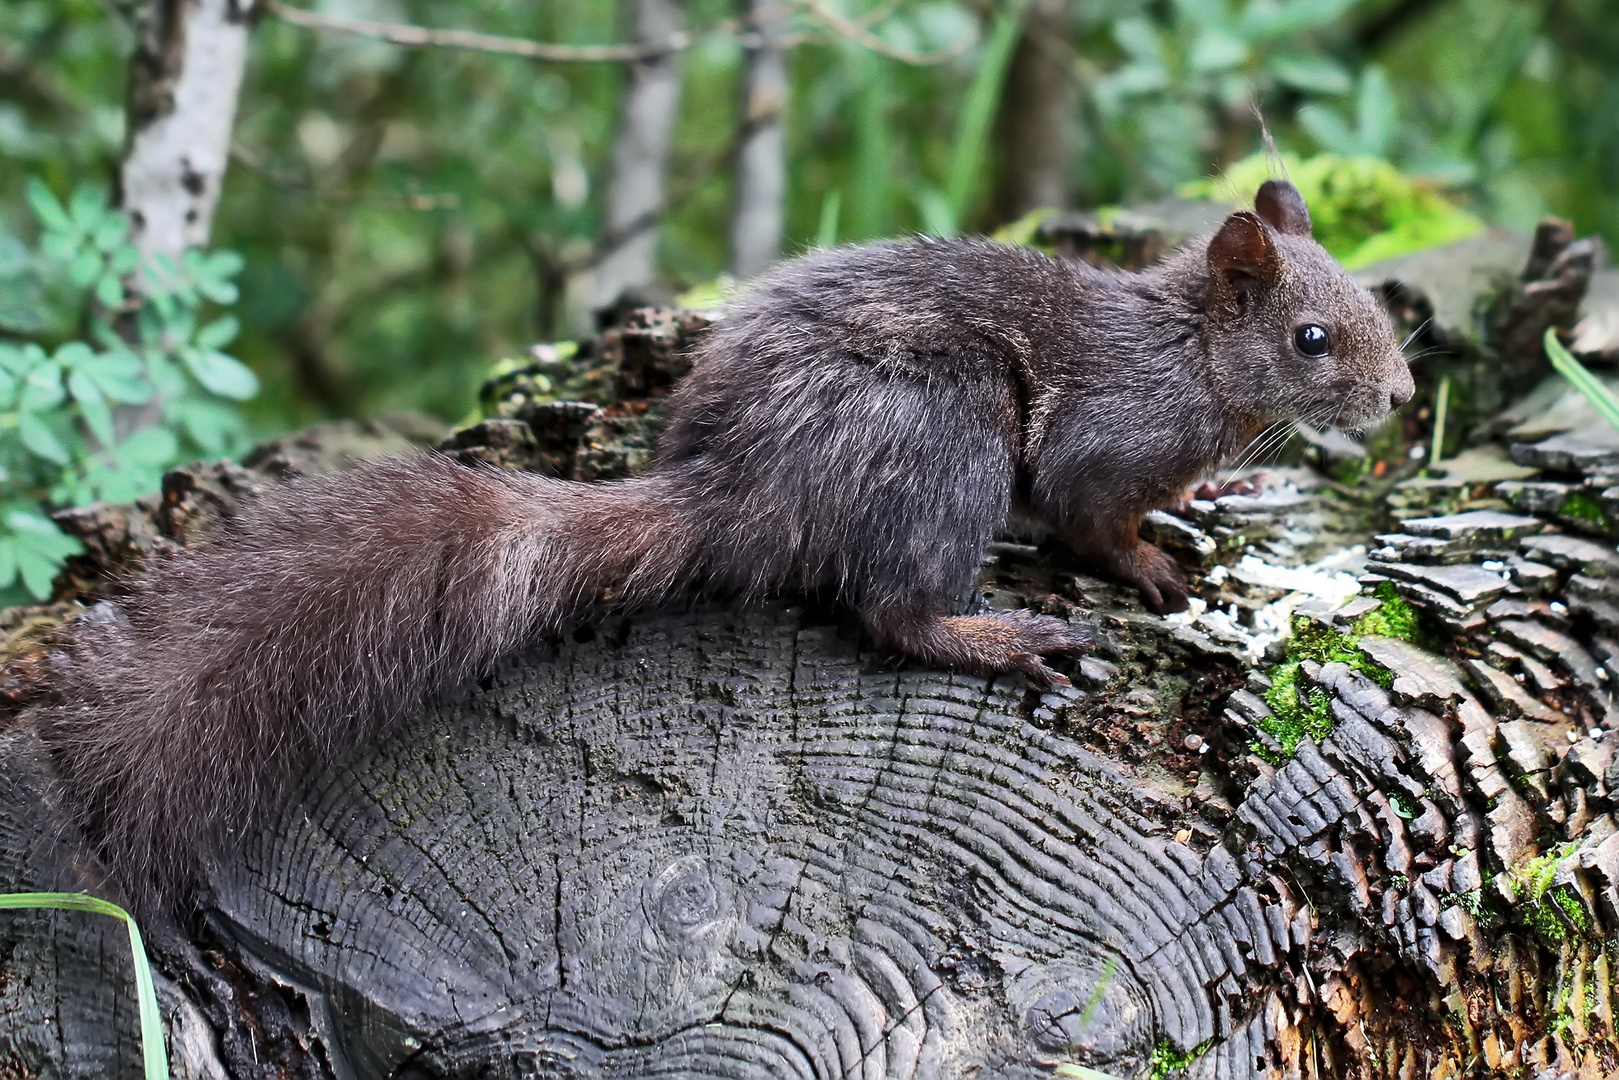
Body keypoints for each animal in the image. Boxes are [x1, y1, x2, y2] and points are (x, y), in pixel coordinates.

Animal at [31, 179, 1411, 913]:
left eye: (1372, 302)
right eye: (1309, 338)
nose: (1401, 397)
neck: (1191, 352)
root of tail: (739, 490)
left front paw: (1219, 496)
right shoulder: (1103, 444)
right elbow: (1088, 517)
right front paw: (1152, 562)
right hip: (946, 438)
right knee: (890, 613)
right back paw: (996, 633)